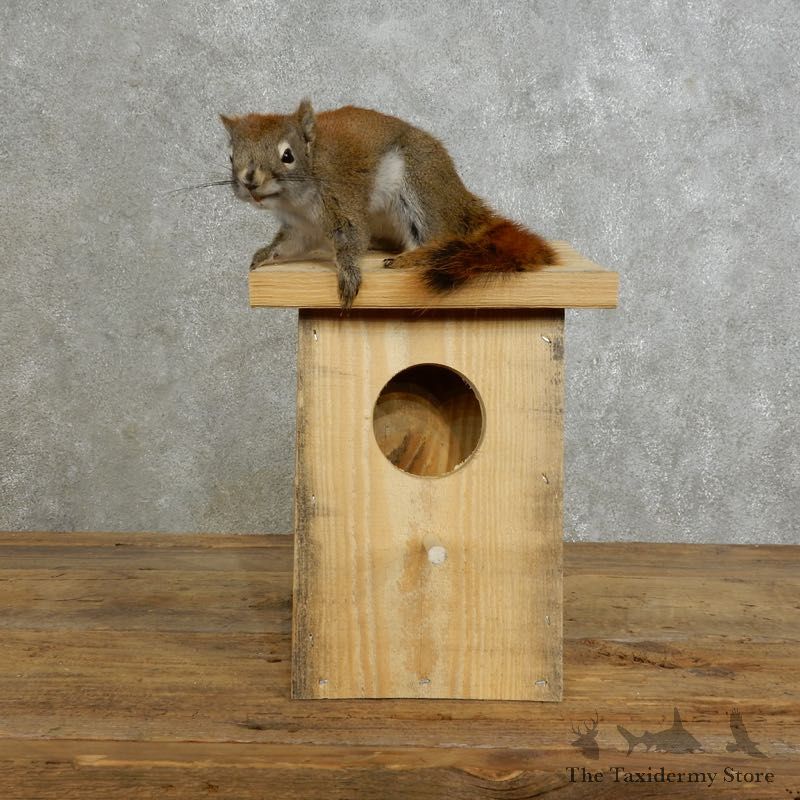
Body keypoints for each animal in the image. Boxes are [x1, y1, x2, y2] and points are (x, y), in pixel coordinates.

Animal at [221, 100, 556, 308]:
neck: (296, 200)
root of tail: (459, 202)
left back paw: (412, 257)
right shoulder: (301, 227)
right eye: (231, 156)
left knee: (439, 238)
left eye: (287, 155)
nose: (250, 181)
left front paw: (348, 273)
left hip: (419, 186)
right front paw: (264, 255)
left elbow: (351, 238)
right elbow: (291, 244)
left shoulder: (341, 199)